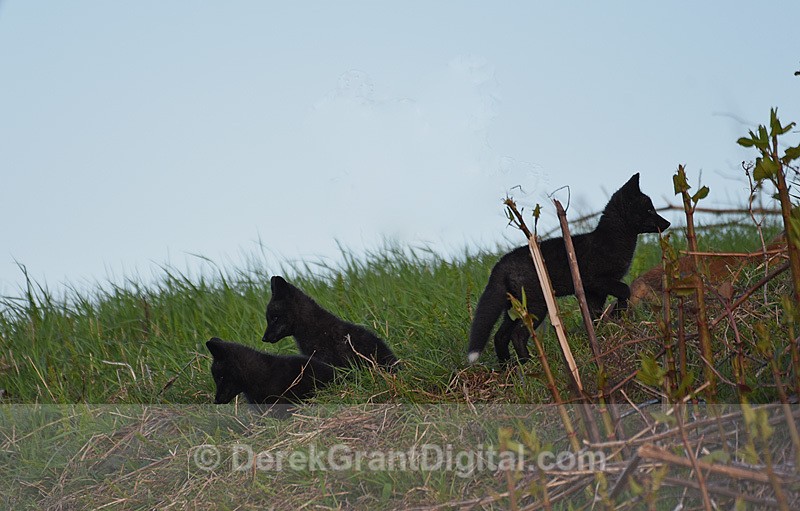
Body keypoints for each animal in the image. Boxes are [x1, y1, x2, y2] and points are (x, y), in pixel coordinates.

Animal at [467, 173, 671, 364]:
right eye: (650, 209)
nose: (668, 223)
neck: (610, 241)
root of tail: (501, 263)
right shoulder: (597, 281)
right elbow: (625, 290)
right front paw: (617, 314)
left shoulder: (593, 292)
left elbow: (594, 317)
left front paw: (600, 336)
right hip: (537, 305)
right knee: (517, 335)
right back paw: (531, 363)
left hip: (514, 307)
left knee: (500, 336)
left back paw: (511, 367)